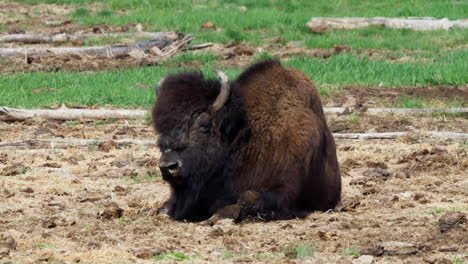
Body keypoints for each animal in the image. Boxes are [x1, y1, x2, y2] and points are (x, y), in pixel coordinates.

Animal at [154, 58, 340, 222]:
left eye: (204, 125)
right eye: (161, 129)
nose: (168, 166)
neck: (240, 135)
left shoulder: (285, 188)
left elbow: (249, 197)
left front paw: (218, 216)